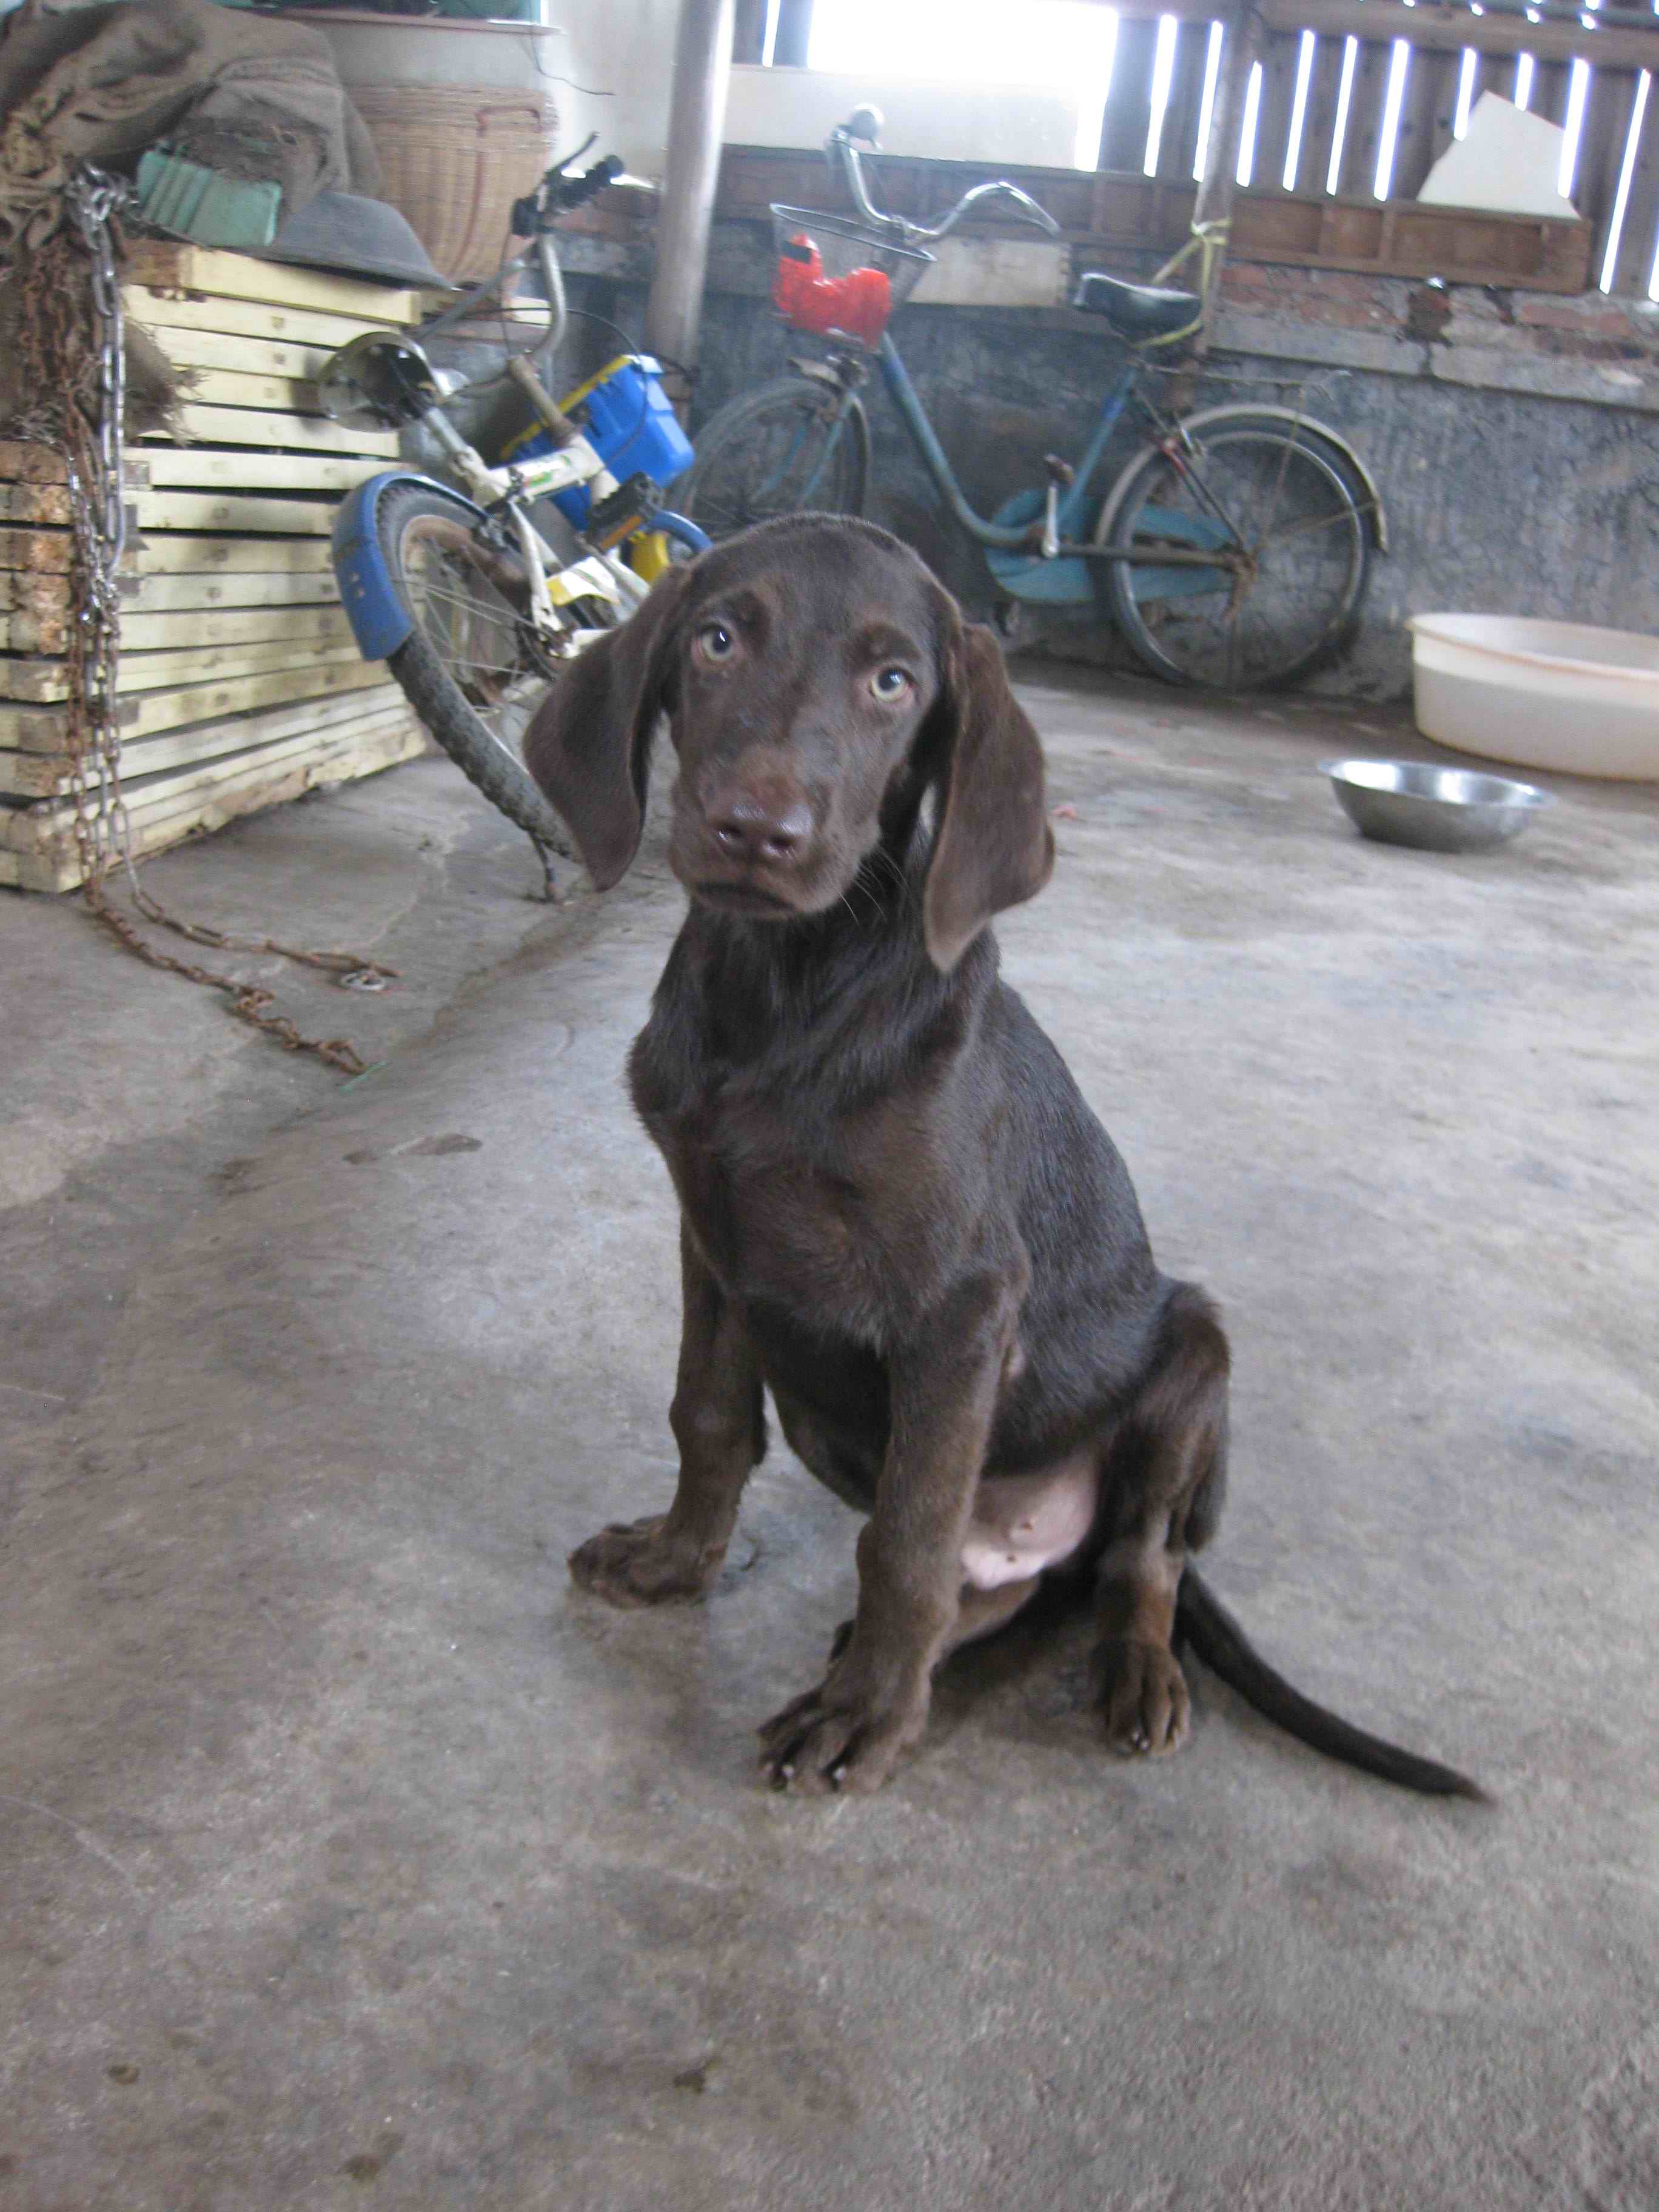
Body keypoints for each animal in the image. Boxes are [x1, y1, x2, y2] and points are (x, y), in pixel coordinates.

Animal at [523, 514, 1481, 1802]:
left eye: (893, 682)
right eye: (718, 639)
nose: (756, 831)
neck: (784, 998)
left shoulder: (962, 1303)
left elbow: (909, 1536)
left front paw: (870, 1716)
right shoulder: (715, 1239)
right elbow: (709, 1417)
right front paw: (677, 1561)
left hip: (1195, 1362)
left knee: (1136, 1561)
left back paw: (1120, 1668)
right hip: (826, 1399)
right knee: (1020, 1592)